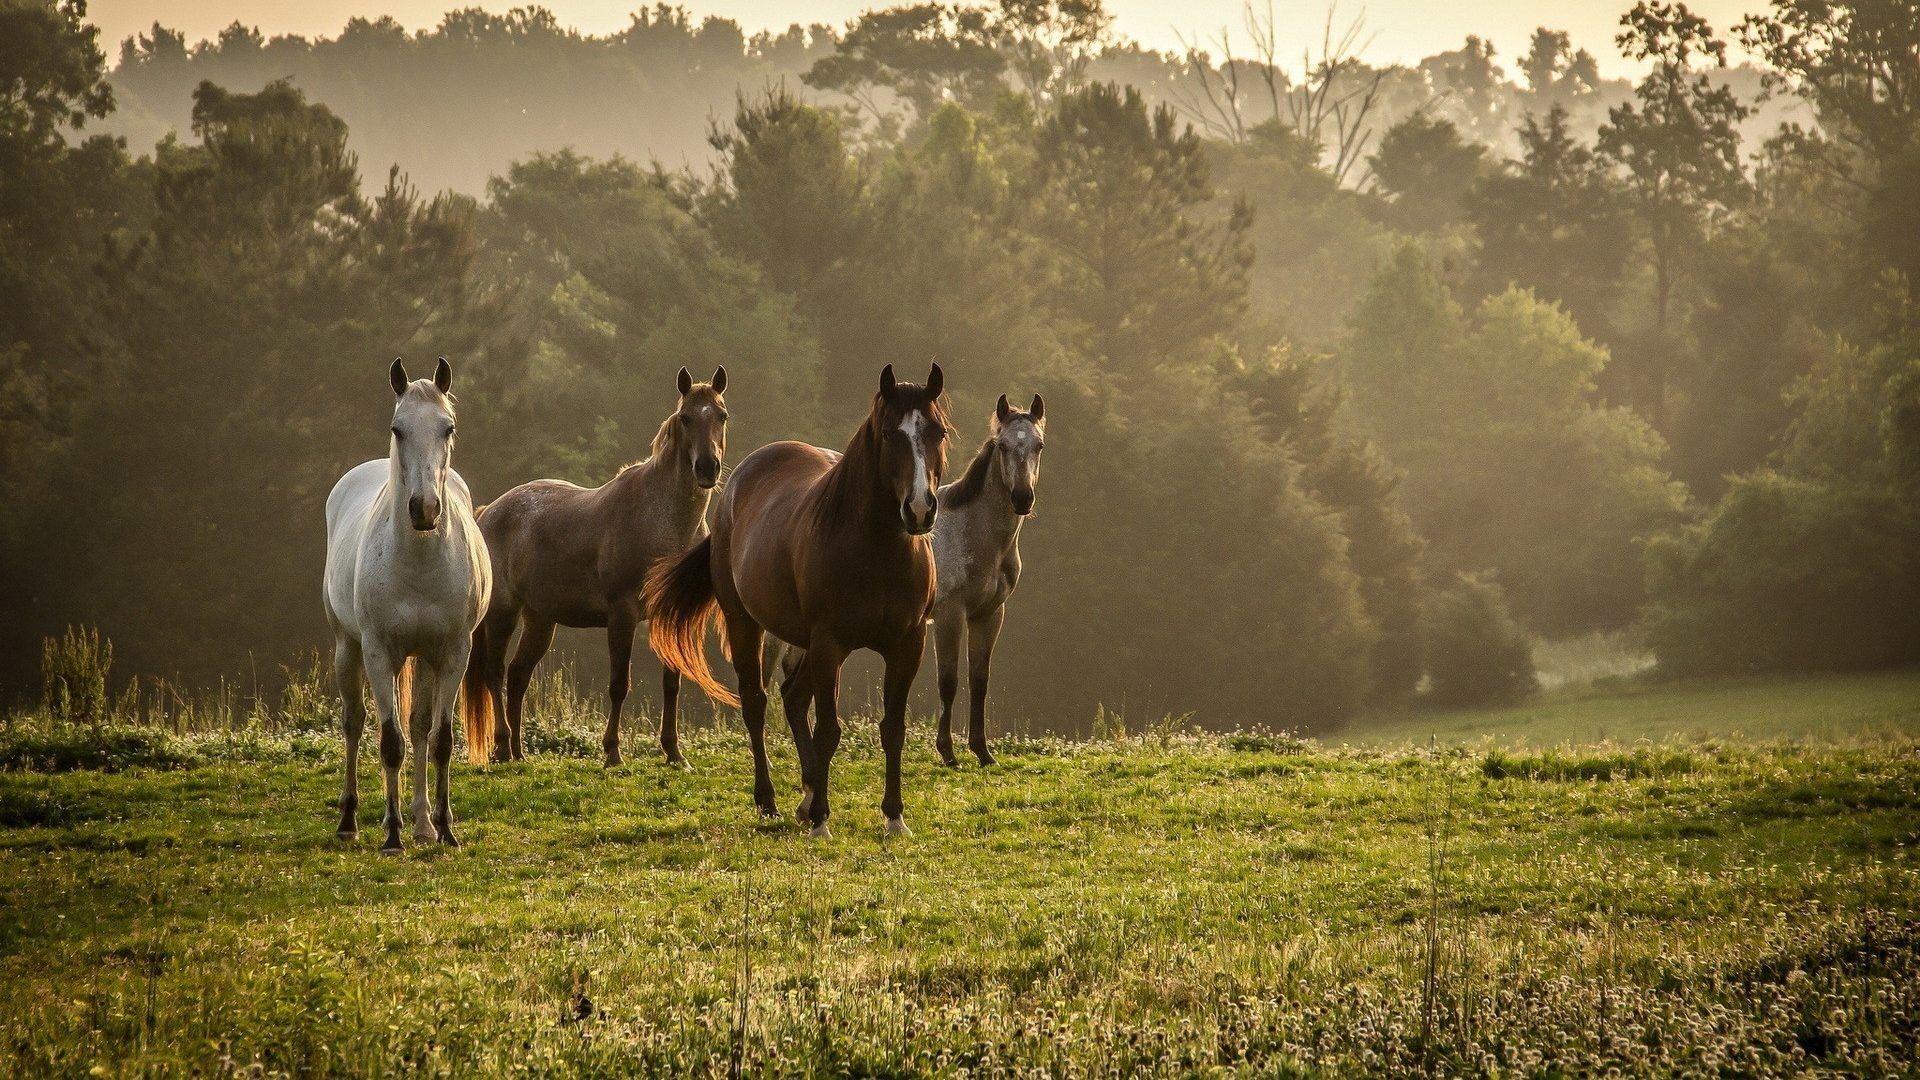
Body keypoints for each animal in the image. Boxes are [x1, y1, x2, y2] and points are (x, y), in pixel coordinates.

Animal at [324, 359, 491, 849]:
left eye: (447, 427)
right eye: (397, 429)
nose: (425, 509)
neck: (417, 562)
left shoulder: (452, 653)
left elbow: (439, 739)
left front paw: (446, 829)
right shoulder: (380, 653)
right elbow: (389, 742)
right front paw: (392, 836)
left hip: (424, 658)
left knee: (418, 726)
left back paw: (423, 824)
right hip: (348, 648)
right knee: (354, 723)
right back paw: (352, 820)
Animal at [462, 367, 725, 764]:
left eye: (722, 415)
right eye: (685, 417)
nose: (707, 468)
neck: (661, 521)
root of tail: (488, 512)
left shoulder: (666, 614)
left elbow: (672, 683)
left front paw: (674, 753)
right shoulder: (622, 615)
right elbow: (618, 685)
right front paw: (612, 752)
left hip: (541, 620)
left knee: (519, 675)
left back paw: (519, 752)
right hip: (502, 613)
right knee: (495, 673)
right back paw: (503, 746)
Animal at [648, 361, 948, 834]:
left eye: (937, 431)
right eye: (888, 434)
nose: (919, 509)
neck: (877, 552)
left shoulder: (907, 646)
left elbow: (893, 729)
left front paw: (894, 816)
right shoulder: (829, 645)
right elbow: (828, 731)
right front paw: (823, 819)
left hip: (803, 642)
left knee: (792, 698)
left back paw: (805, 798)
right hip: (747, 623)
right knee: (757, 703)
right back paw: (769, 799)